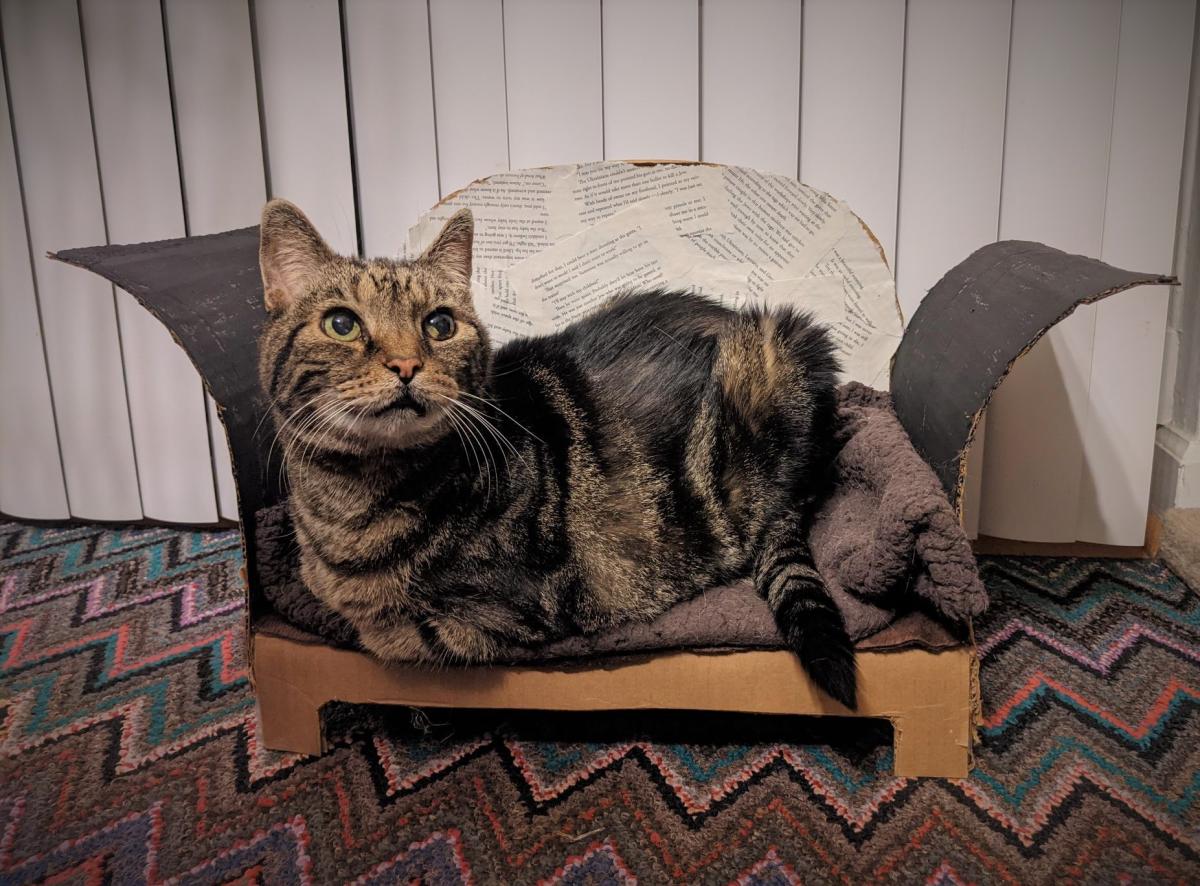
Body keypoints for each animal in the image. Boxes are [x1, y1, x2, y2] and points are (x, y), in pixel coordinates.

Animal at [258, 198, 859, 705]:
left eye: (440, 324)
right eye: (341, 324)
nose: (405, 365)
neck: (347, 504)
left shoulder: (504, 613)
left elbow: (388, 635)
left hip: (775, 353)